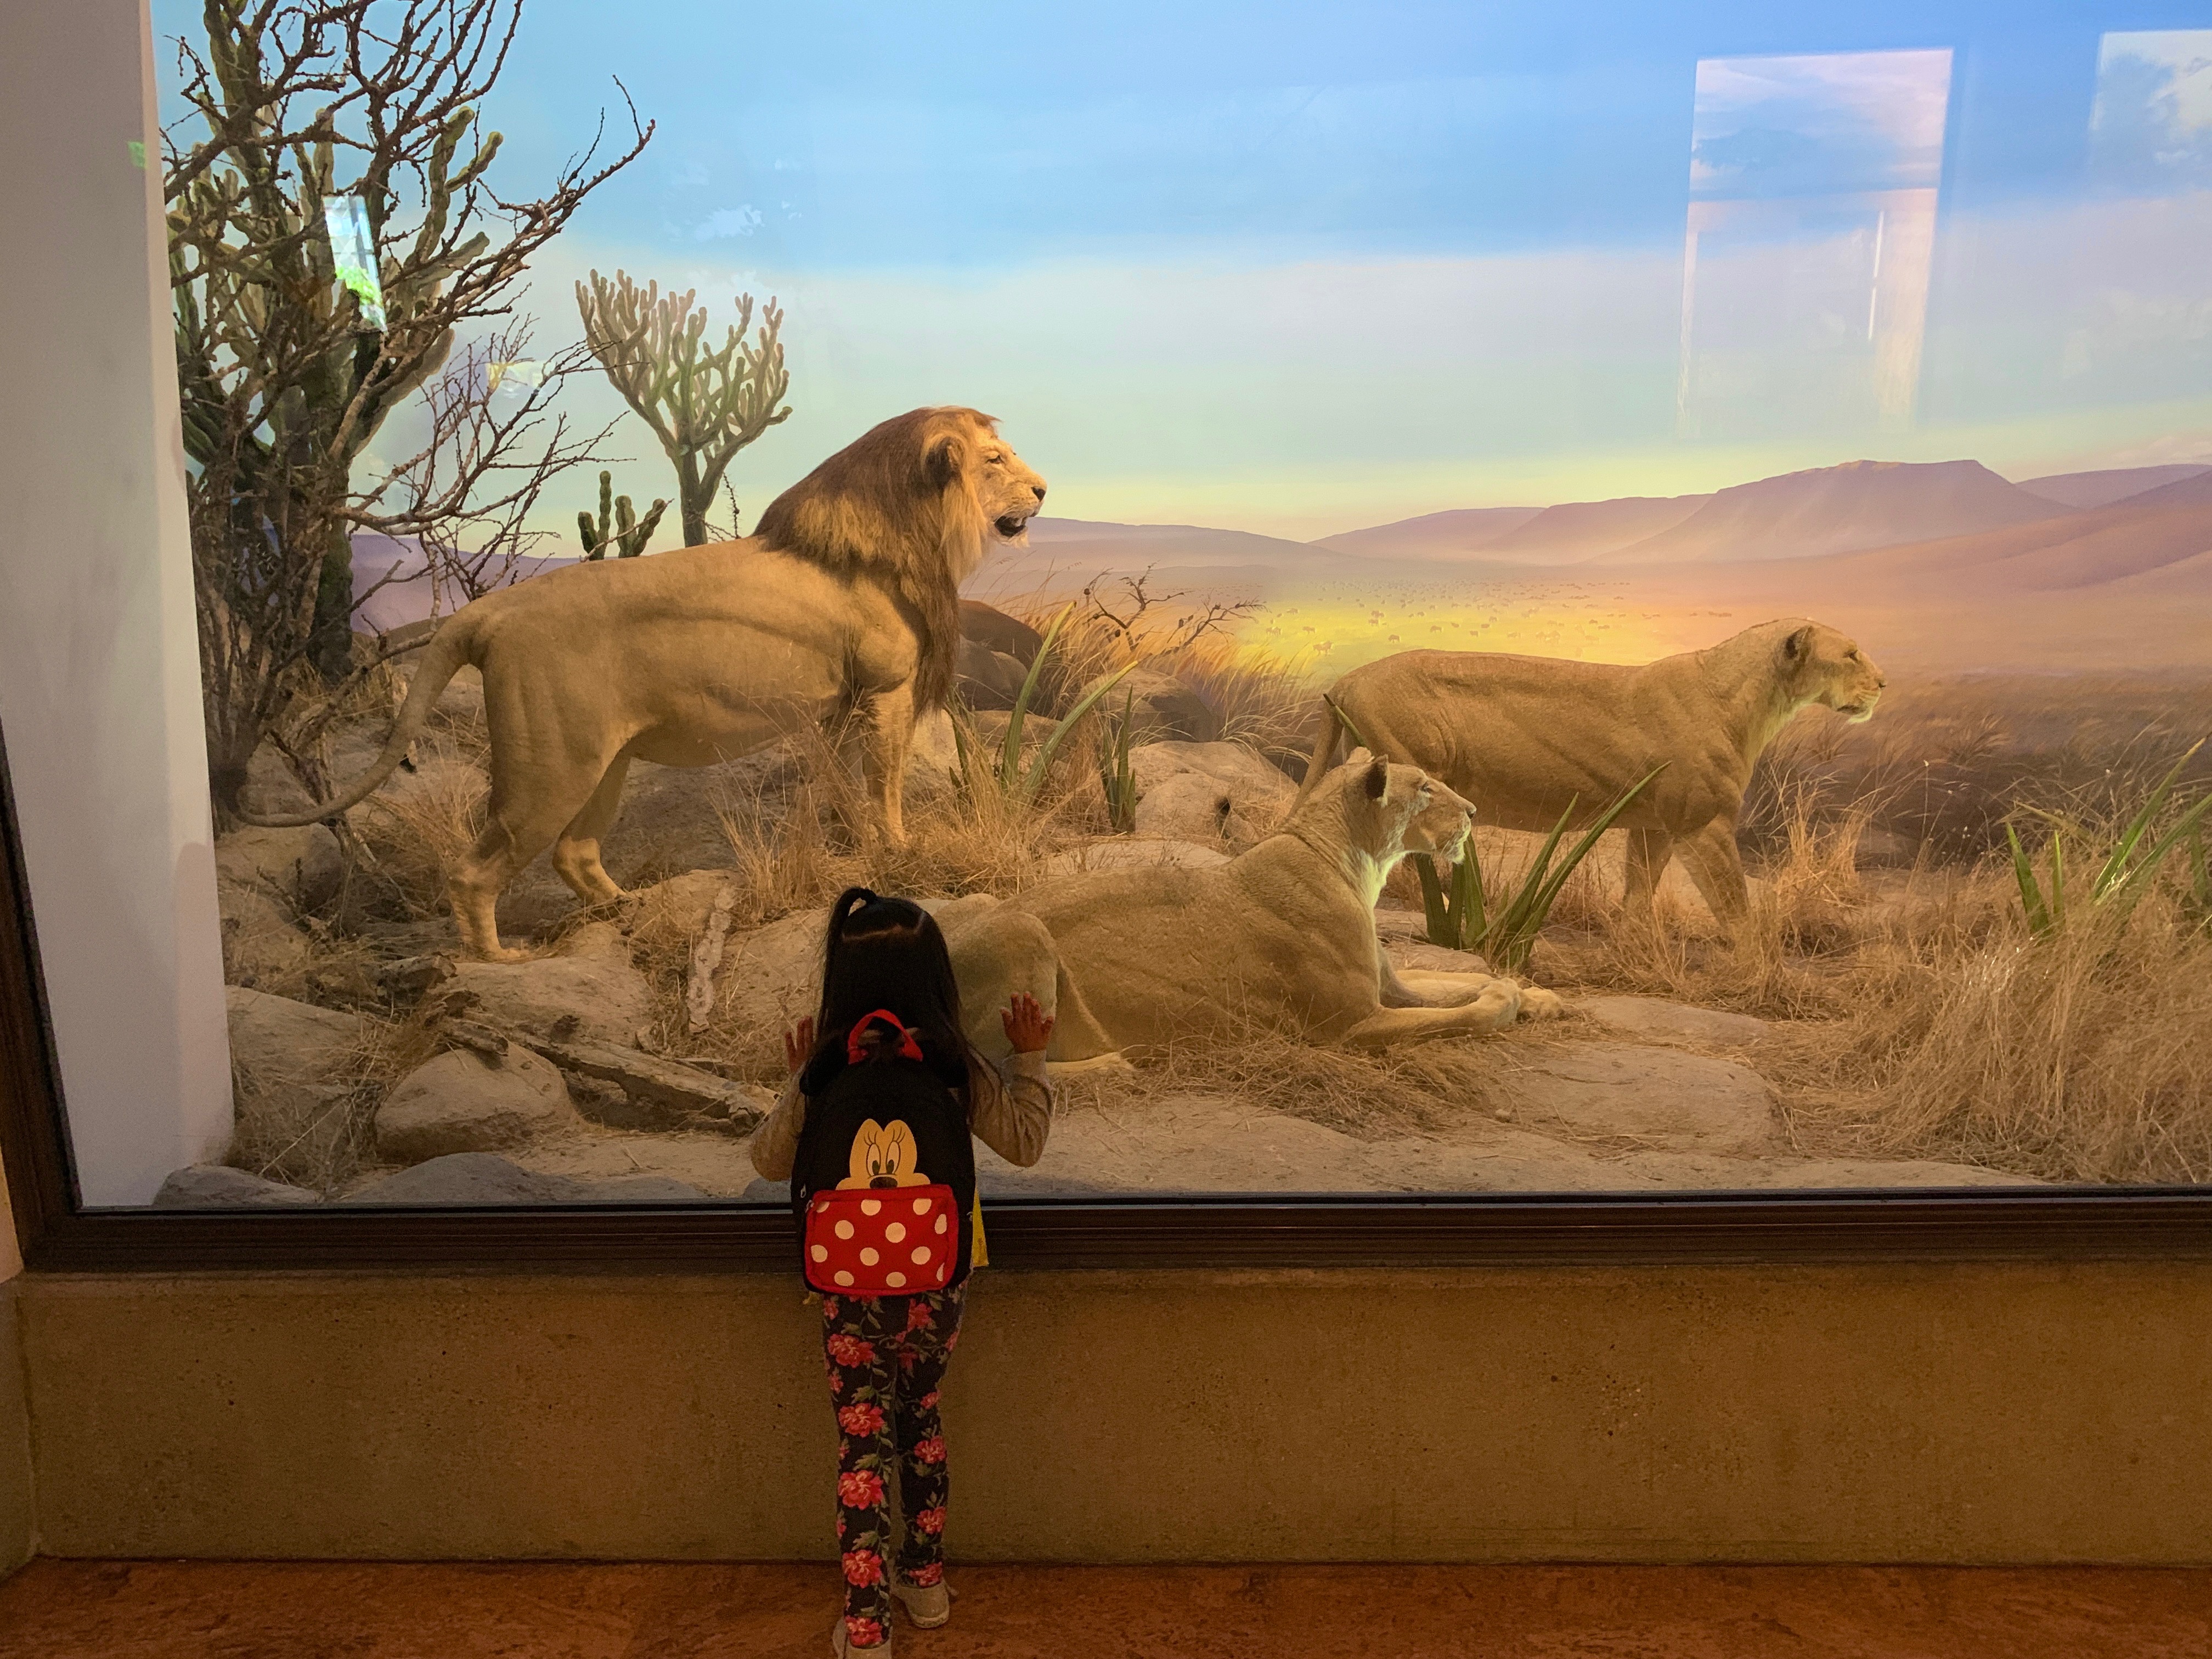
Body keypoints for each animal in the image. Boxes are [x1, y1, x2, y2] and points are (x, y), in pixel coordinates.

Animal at [254, 407, 1048, 960]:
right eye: (995, 459)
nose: (1043, 489)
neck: (912, 531)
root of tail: (488, 611)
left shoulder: (836, 706)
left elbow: (833, 788)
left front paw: (832, 854)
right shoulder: (885, 692)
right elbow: (884, 787)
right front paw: (898, 852)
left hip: (604, 762)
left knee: (574, 854)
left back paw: (632, 910)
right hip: (551, 768)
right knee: (473, 872)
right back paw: (496, 962)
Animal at [942, 747, 1566, 1057]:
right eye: (1426, 788)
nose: (1476, 812)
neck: (1358, 865)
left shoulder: (1389, 988)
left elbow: (1456, 980)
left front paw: (1538, 996)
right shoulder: (1351, 1026)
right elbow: (1461, 1014)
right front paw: (1508, 1001)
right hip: (1021, 932)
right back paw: (1114, 1059)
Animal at [1291, 624, 1884, 938]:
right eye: (1851, 654)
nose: (1883, 682)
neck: (1758, 701)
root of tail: (1345, 680)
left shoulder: (1654, 825)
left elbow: (1639, 892)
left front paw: (1634, 948)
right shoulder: (1703, 823)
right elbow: (1737, 909)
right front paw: (1761, 974)